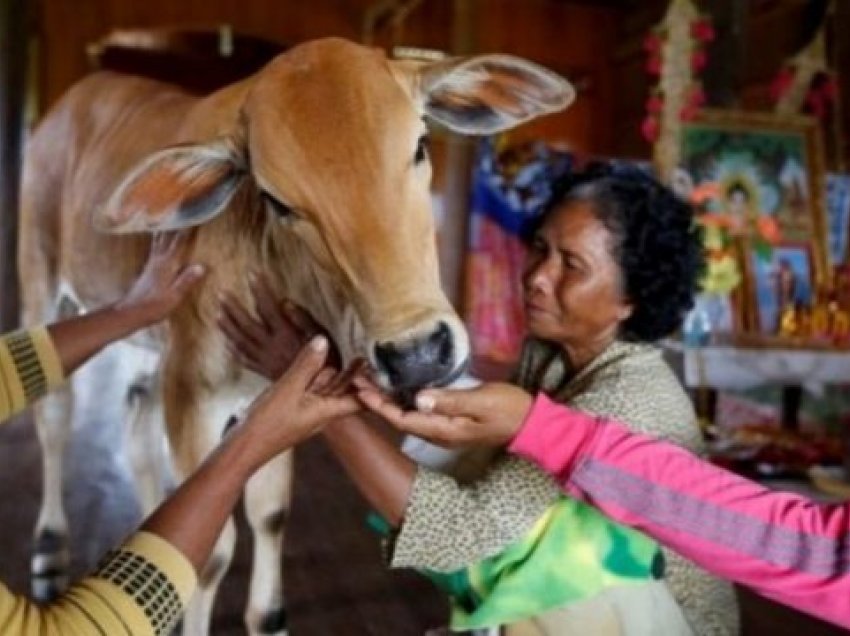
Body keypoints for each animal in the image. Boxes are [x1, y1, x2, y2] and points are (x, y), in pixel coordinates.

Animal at [16, 37, 568, 632]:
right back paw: (48, 549)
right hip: (42, 280)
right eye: (277, 201)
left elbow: (270, 515)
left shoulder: (267, 392)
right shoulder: (194, 392)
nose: (417, 354)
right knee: (54, 411)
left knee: (136, 426)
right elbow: (208, 552)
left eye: (421, 145)